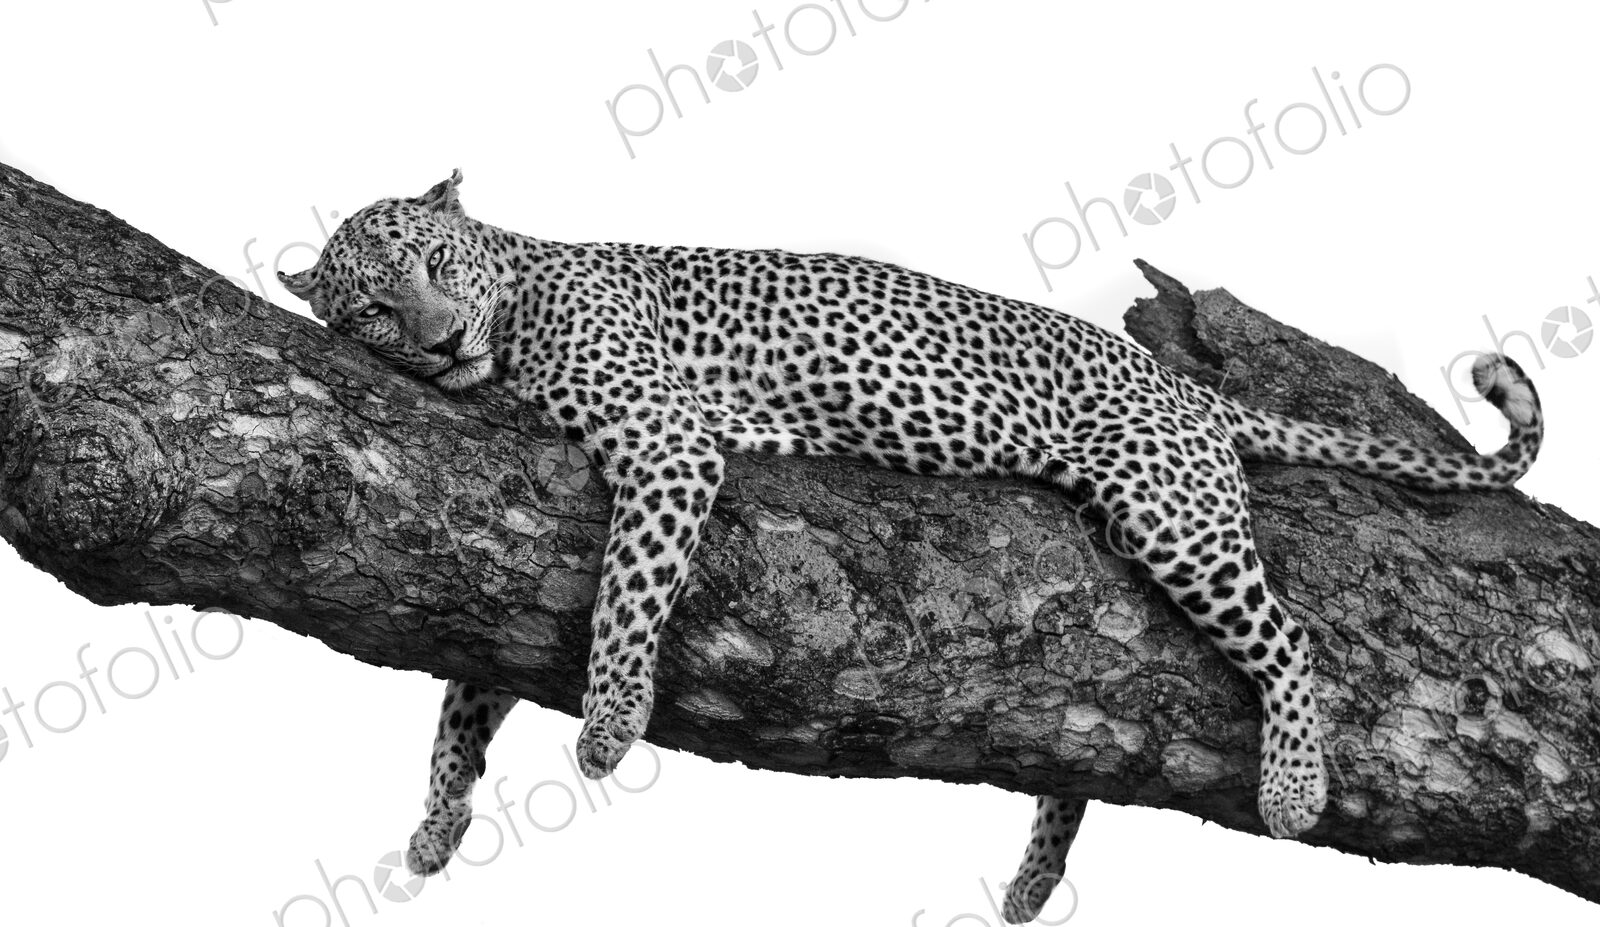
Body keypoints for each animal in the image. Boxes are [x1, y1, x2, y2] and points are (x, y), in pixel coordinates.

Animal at [277, 170, 1543, 923]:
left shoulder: (666, 439)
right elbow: (467, 690)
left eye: (435, 267)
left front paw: (606, 725)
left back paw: (1291, 785)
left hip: (1170, 510)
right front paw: (438, 822)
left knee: (1290, 639)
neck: (521, 286)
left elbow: (626, 595)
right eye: (374, 308)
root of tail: (1183, 385)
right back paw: (1032, 879)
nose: (438, 342)